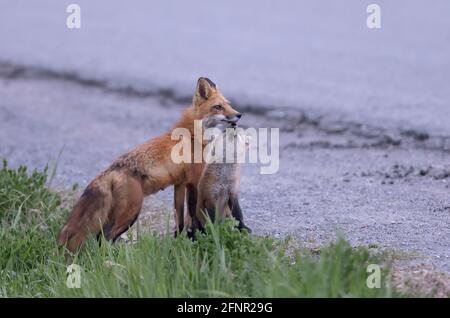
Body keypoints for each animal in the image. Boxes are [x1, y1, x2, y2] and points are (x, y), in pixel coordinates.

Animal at [59, 77, 243, 253]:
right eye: (218, 107)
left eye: (229, 104)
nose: (239, 114)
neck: (192, 135)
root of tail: (111, 171)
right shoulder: (193, 181)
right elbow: (194, 216)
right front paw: (197, 239)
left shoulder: (180, 184)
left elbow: (179, 219)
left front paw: (179, 242)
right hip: (131, 213)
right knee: (105, 238)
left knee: (100, 238)